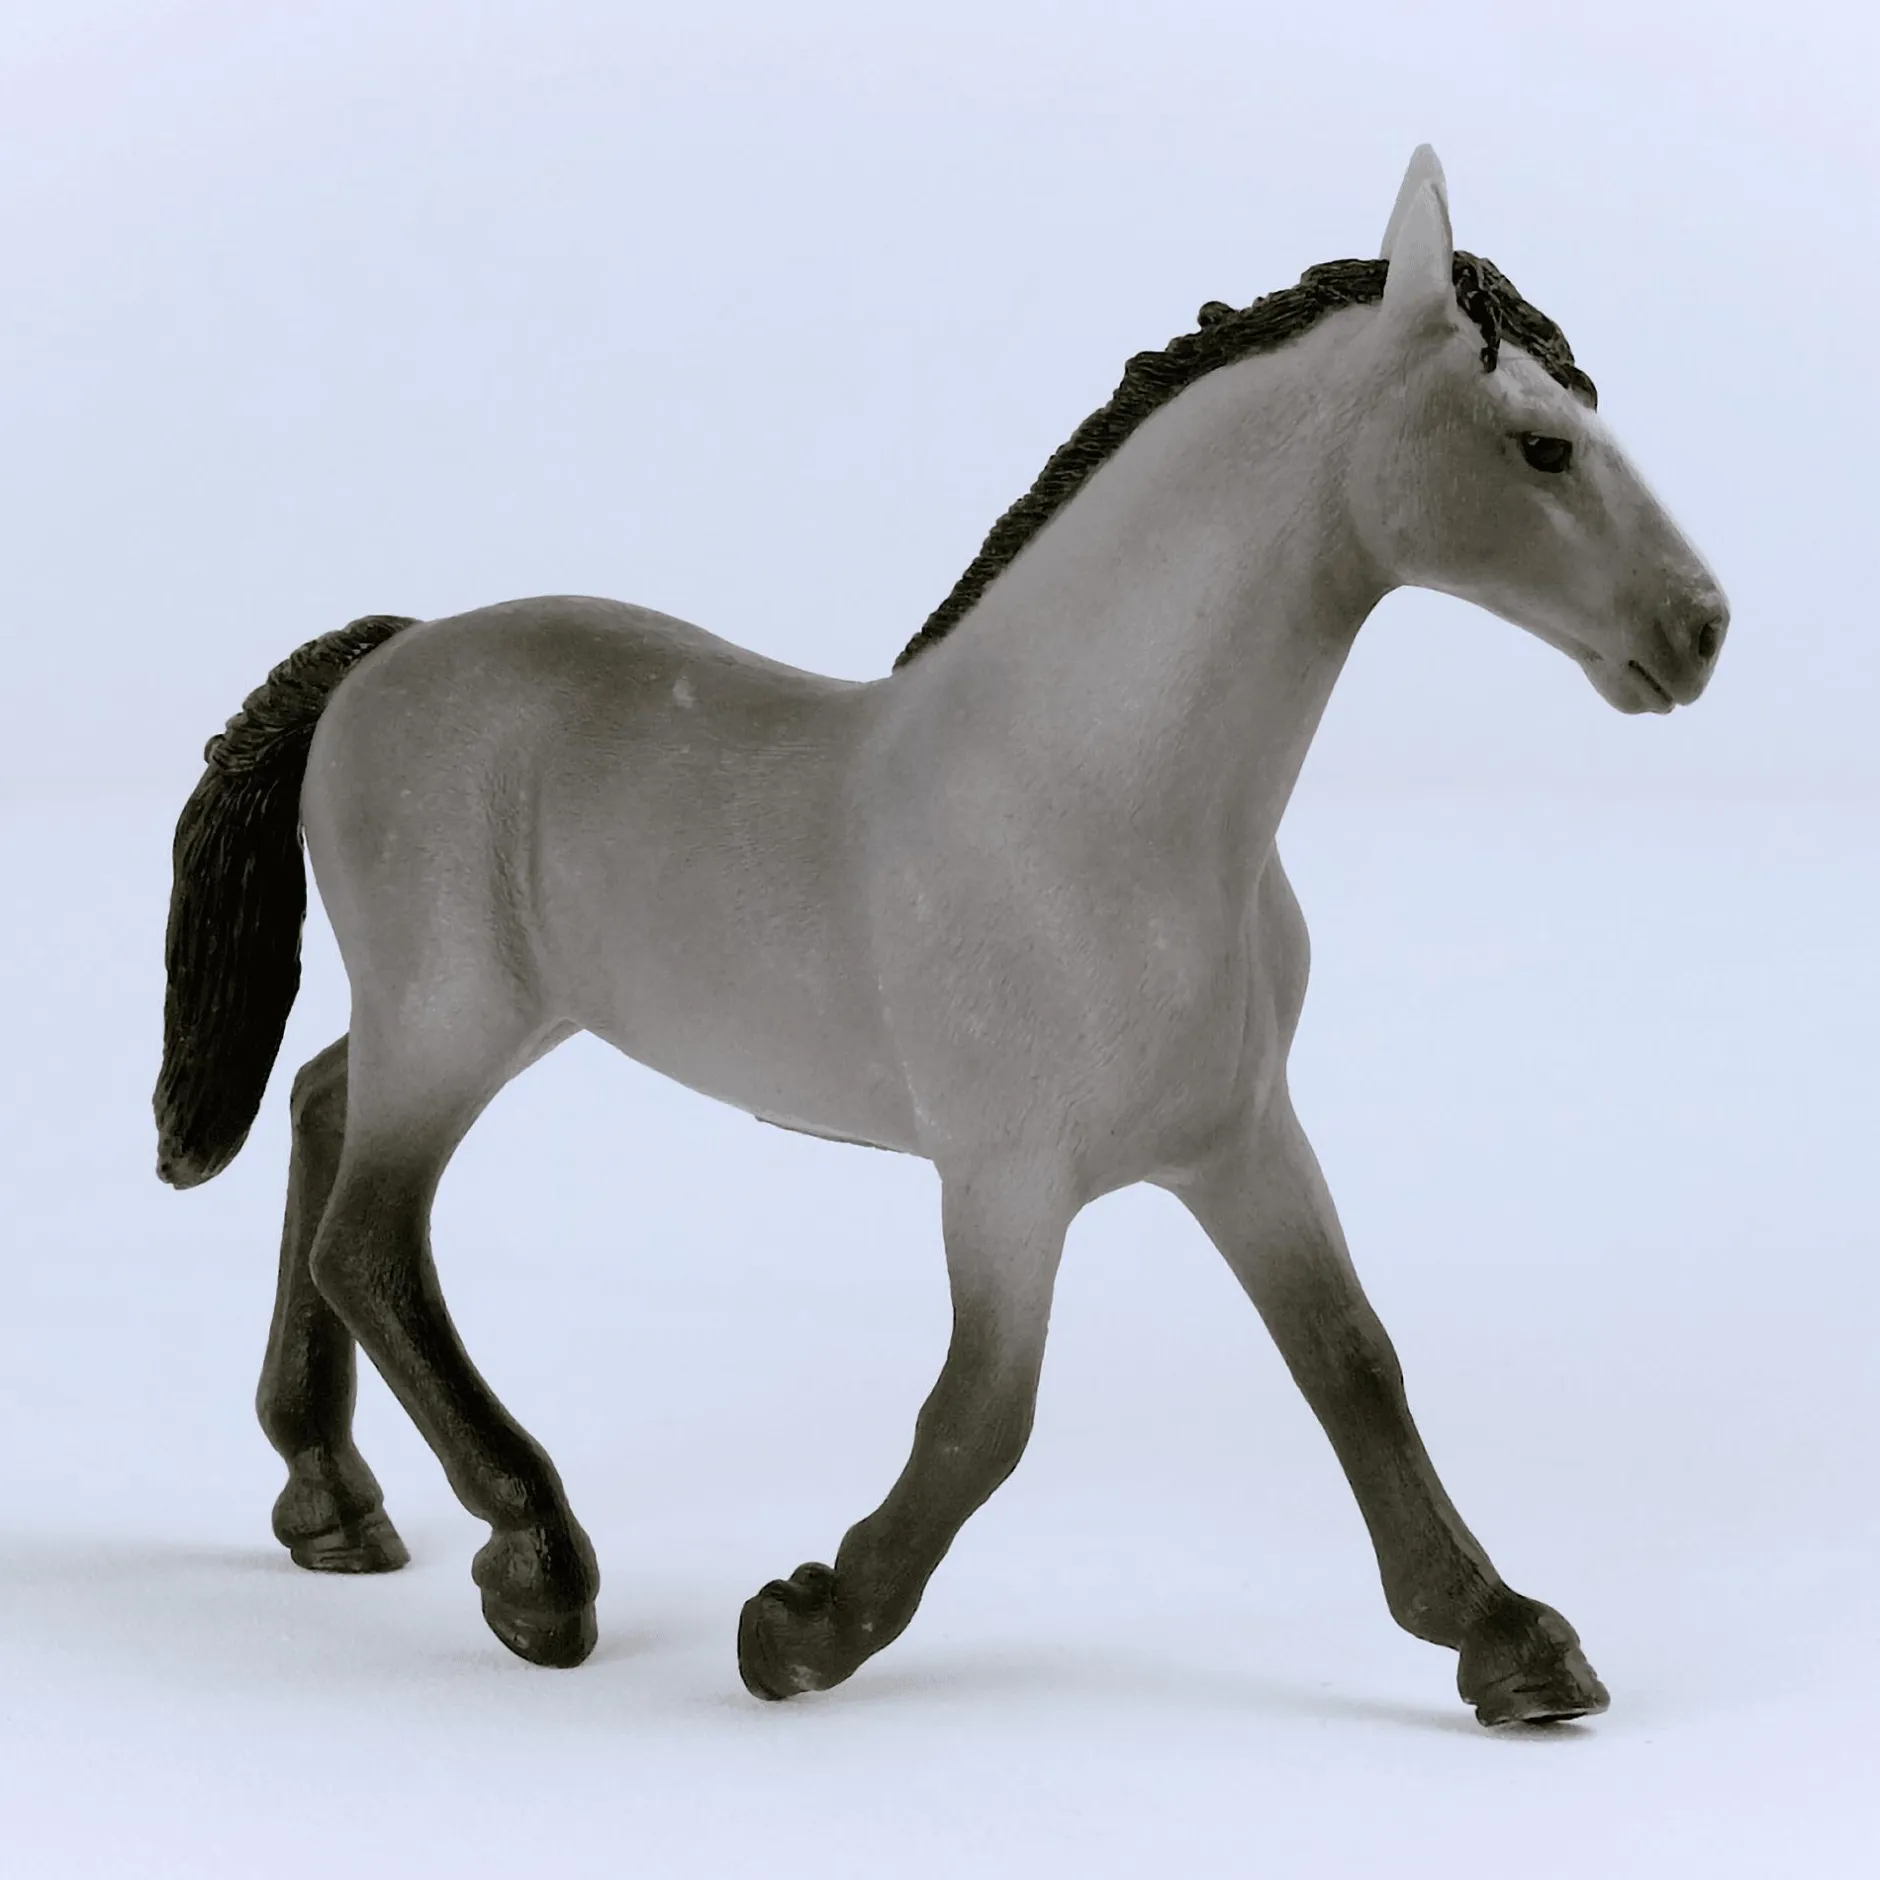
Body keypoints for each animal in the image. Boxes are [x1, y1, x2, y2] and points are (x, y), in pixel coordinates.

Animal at [154, 147, 1727, 1726]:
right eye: (1540, 447)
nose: (1701, 629)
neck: (1103, 803)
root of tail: (389, 654)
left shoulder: (1238, 1138)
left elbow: (1352, 1361)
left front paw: (1509, 1641)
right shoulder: (1005, 1182)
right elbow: (985, 1416)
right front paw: (801, 1625)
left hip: (474, 1016)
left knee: (319, 1105)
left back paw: (328, 1497)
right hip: (457, 1017)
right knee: (370, 1238)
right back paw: (535, 1566)